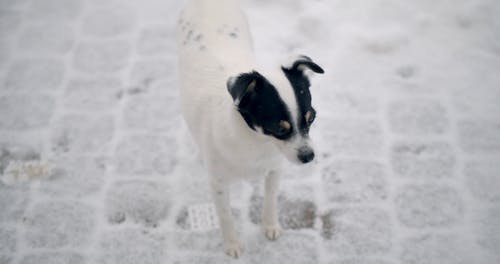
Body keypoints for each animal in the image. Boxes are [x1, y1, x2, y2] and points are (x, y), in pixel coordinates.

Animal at [176, 0, 324, 256]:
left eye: (311, 117)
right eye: (279, 128)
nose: (309, 156)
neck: (256, 141)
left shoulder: (274, 169)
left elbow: (270, 200)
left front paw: (270, 225)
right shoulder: (218, 184)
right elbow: (225, 216)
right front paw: (232, 244)